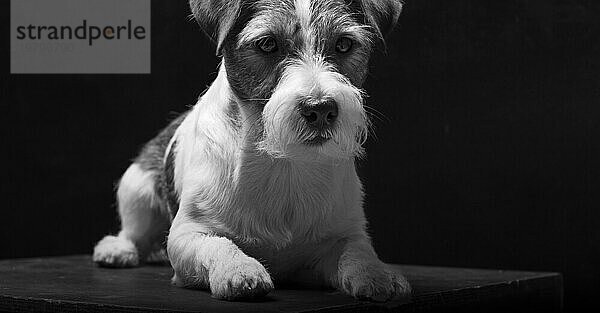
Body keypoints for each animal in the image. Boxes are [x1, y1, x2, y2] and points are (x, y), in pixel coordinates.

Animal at [94, 0, 410, 302]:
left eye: (343, 44)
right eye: (267, 44)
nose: (320, 109)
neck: (283, 161)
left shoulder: (345, 235)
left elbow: (358, 255)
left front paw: (378, 275)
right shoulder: (187, 234)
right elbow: (219, 244)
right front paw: (239, 269)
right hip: (135, 190)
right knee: (134, 233)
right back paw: (117, 249)